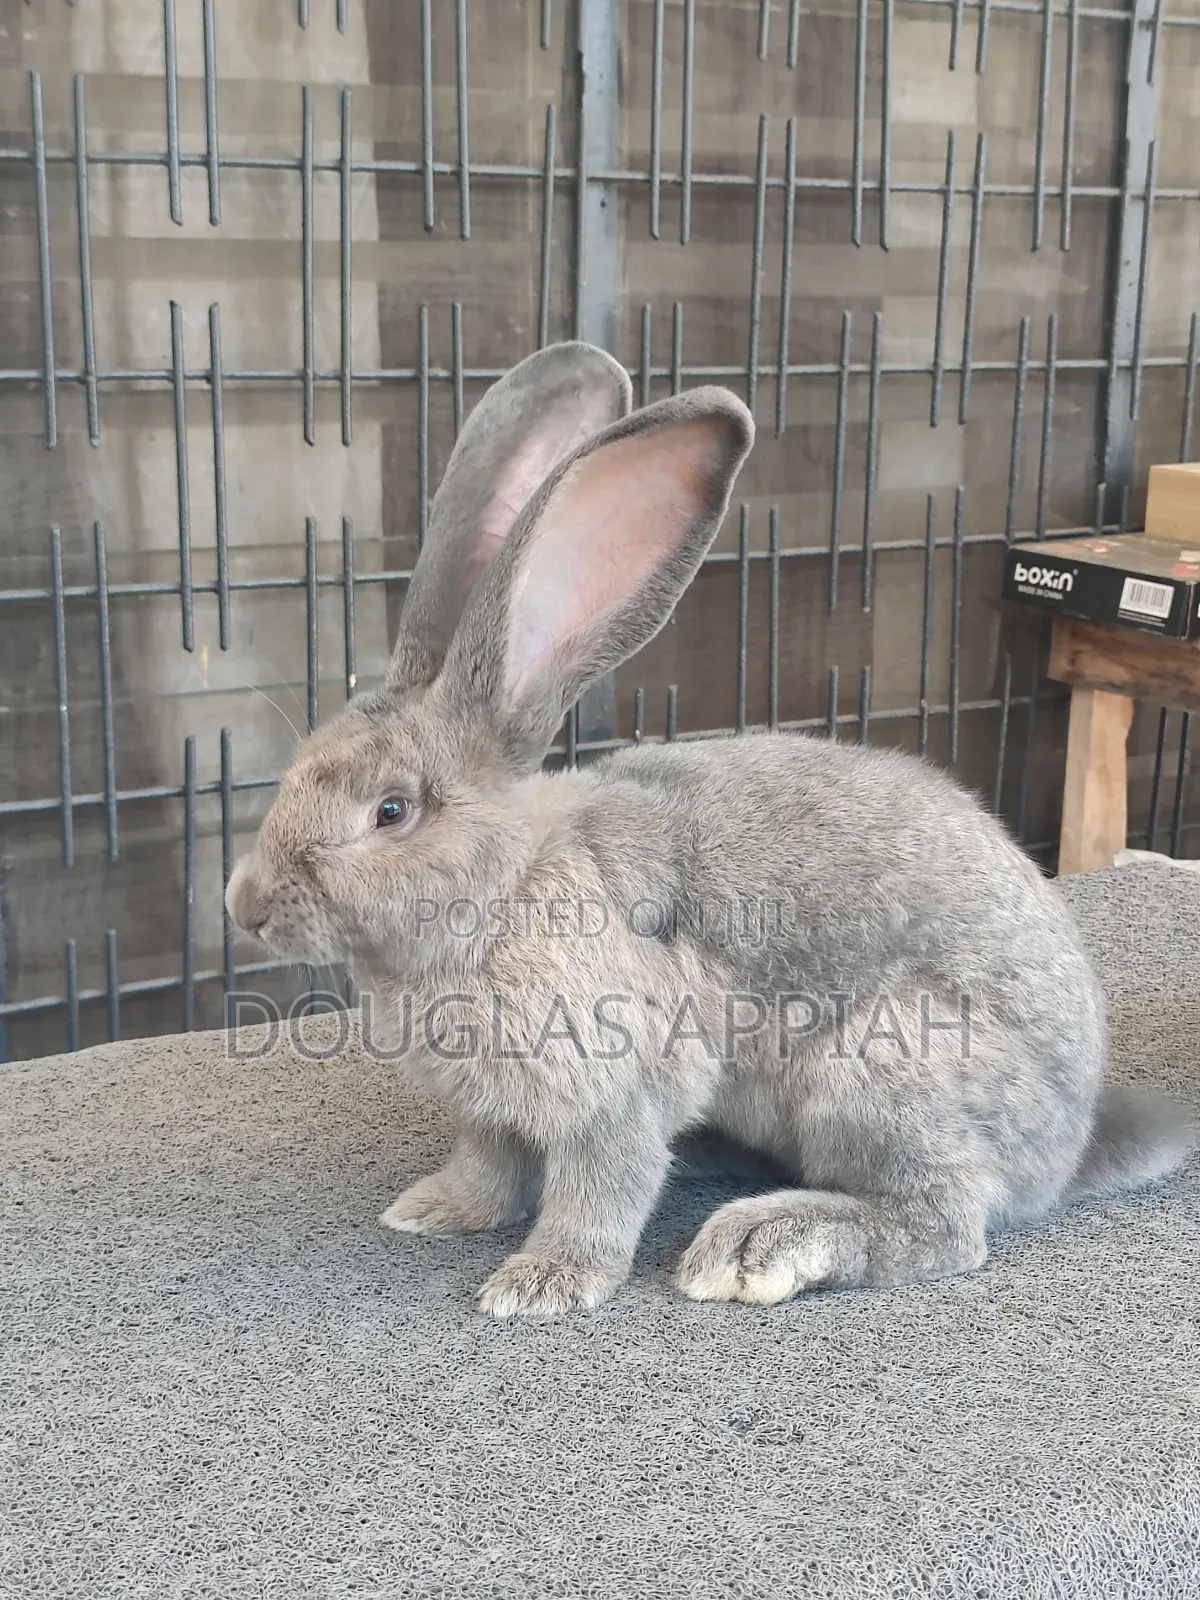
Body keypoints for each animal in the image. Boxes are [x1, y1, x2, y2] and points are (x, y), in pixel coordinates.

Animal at [226, 341, 1196, 1319]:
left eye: (391, 810)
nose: (246, 907)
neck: (508, 887)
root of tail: (1069, 1141)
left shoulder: (616, 1086)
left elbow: (601, 1189)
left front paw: (543, 1284)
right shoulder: (491, 1113)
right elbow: (487, 1168)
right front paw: (431, 1211)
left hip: (882, 1074)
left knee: (946, 1224)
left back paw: (762, 1243)